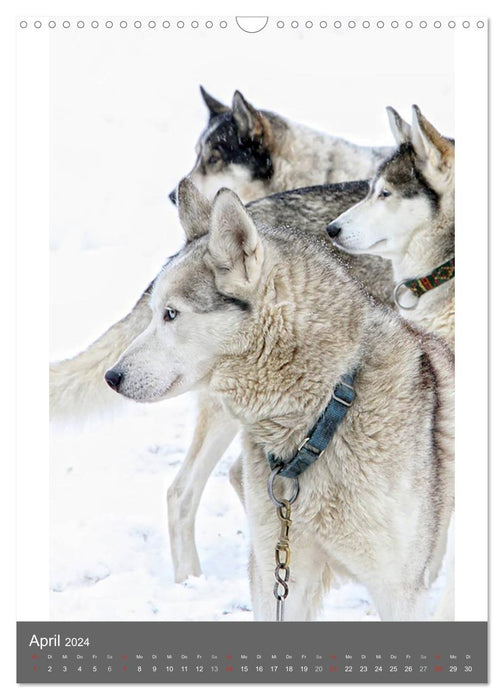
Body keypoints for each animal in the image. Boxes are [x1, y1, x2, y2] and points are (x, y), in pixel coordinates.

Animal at [104, 182, 454, 624]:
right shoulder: (282, 569)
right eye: (153, 313)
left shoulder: (398, 589)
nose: (112, 377)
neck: (323, 420)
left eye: (171, 314)